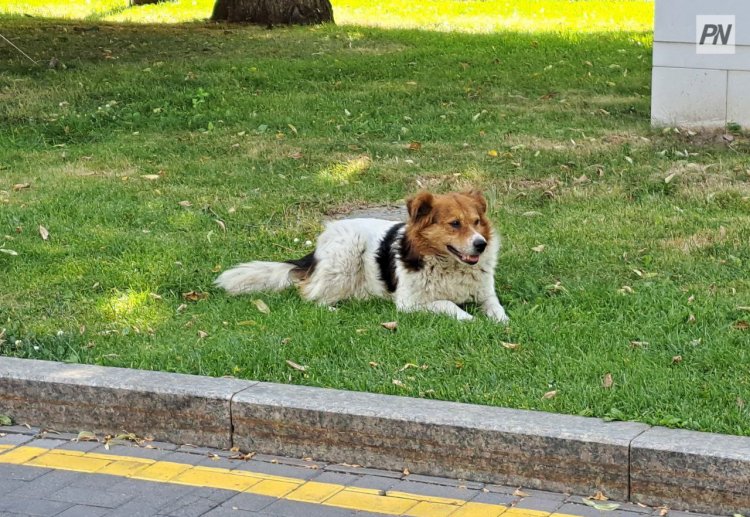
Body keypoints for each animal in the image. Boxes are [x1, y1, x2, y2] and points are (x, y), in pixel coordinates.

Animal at [216, 189, 512, 322]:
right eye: (454, 224)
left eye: (476, 222)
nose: (481, 244)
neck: (448, 265)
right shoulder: (409, 303)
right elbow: (448, 304)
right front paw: (470, 320)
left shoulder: (486, 295)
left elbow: (498, 311)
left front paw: (502, 324)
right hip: (346, 254)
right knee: (310, 295)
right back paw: (333, 308)